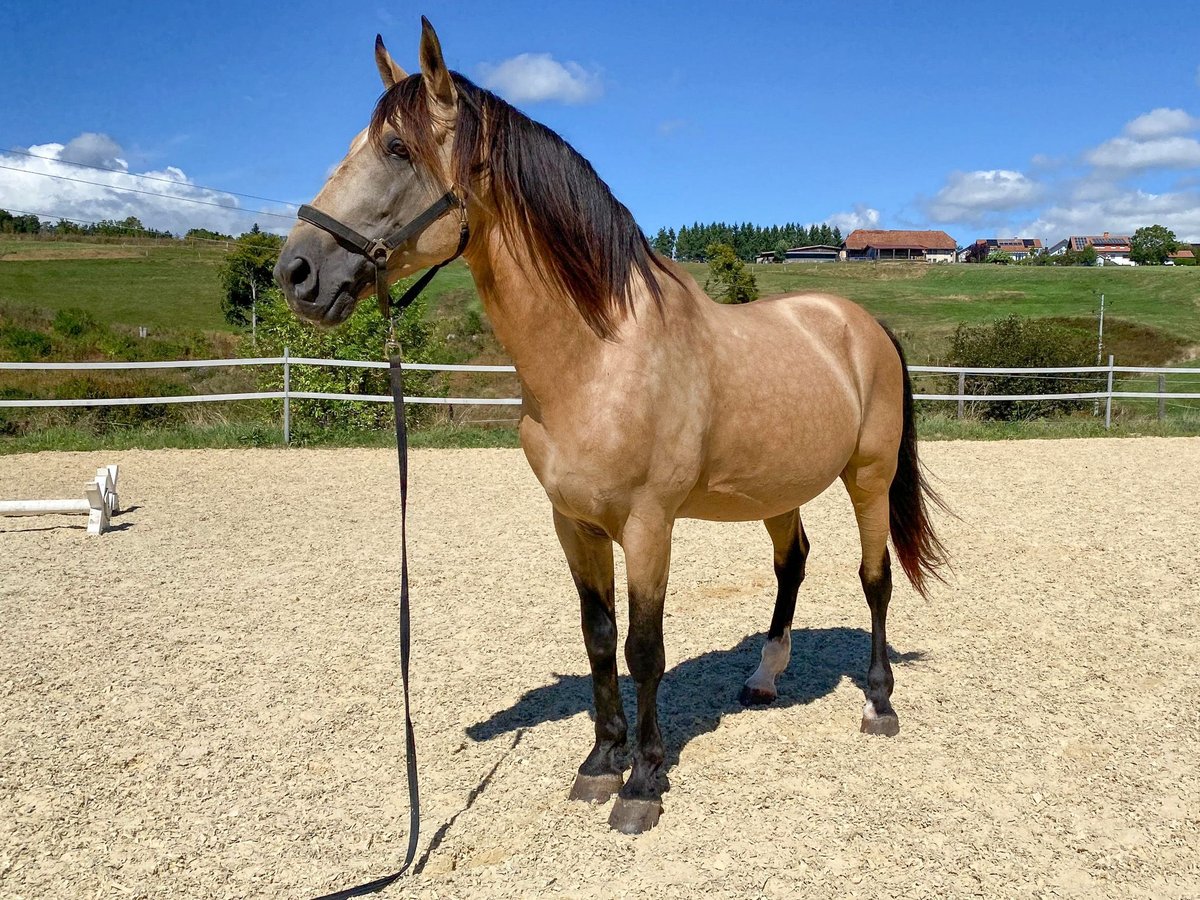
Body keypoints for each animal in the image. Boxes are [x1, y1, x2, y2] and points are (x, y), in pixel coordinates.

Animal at [274, 17, 945, 840]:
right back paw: (763, 677)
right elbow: (598, 639)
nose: (296, 272)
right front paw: (600, 762)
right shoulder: (575, 523)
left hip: (868, 477)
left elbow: (644, 647)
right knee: (793, 565)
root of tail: (861, 324)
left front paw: (645, 784)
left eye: (397, 149)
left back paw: (878, 703)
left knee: (874, 580)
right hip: (777, 490)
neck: (599, 356)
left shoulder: (650, 524)